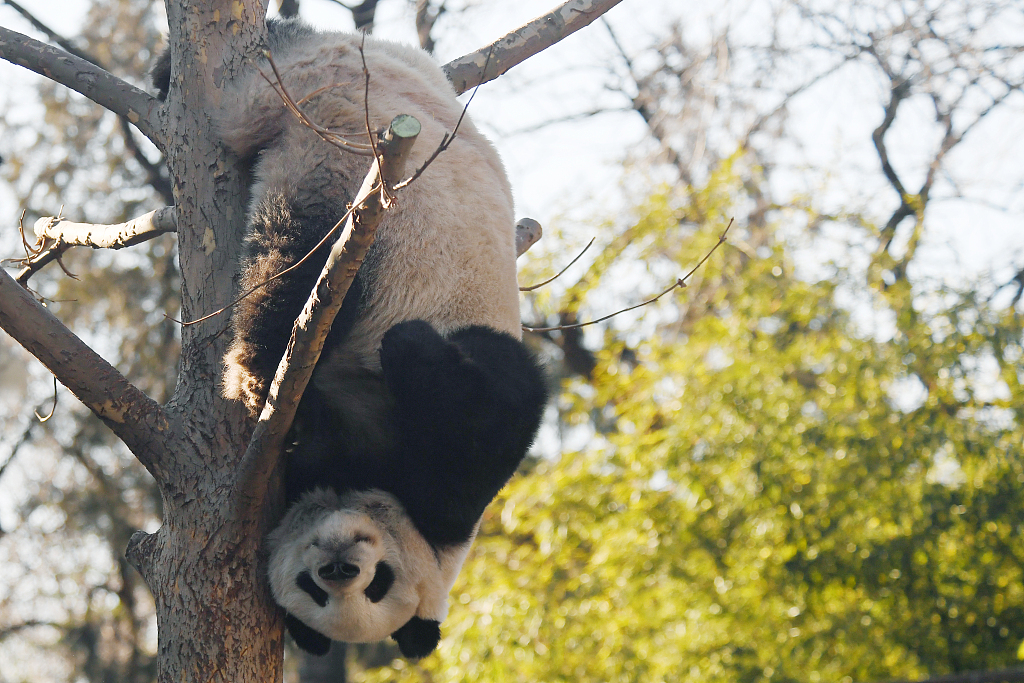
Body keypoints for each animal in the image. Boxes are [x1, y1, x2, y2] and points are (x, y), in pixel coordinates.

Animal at [151, 17, 548, 655]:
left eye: (375, 587)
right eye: (318, 589)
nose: (338, 567)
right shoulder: (458, 466)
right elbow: (485, 402)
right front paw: (406, 348)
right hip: (354, 163)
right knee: (302, 256)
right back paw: (255, 373)